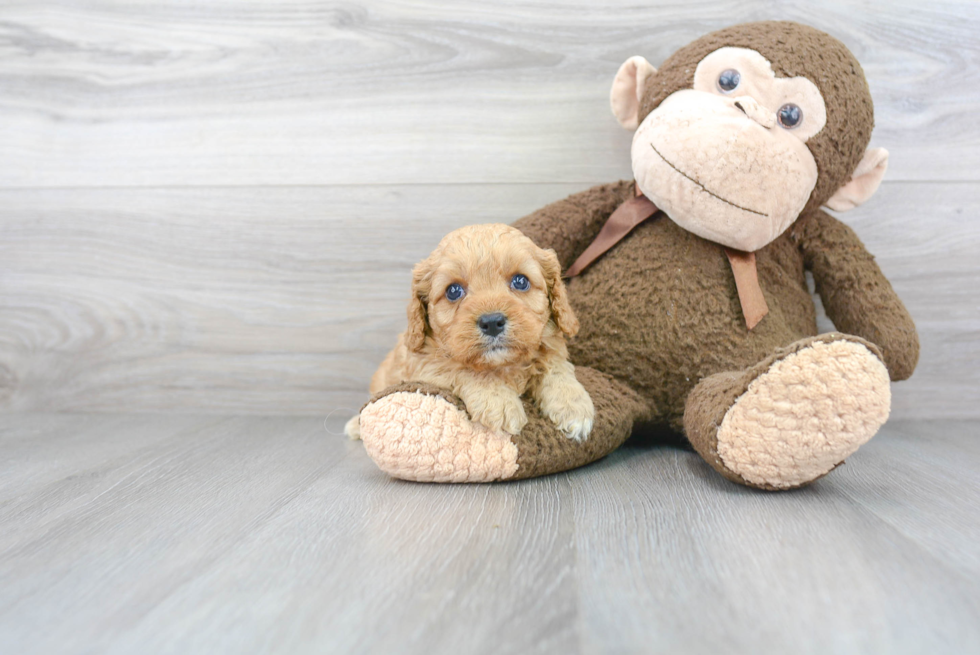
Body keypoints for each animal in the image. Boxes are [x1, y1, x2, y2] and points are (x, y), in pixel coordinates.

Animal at [348, 223, 600, 444]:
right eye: (453, 291)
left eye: (520, 281)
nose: (492, 322)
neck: (503, 365)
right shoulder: (426, 365)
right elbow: (463, 368)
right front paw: (499, 402)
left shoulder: (550, 348)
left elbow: (556, 369)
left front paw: (574, 407)